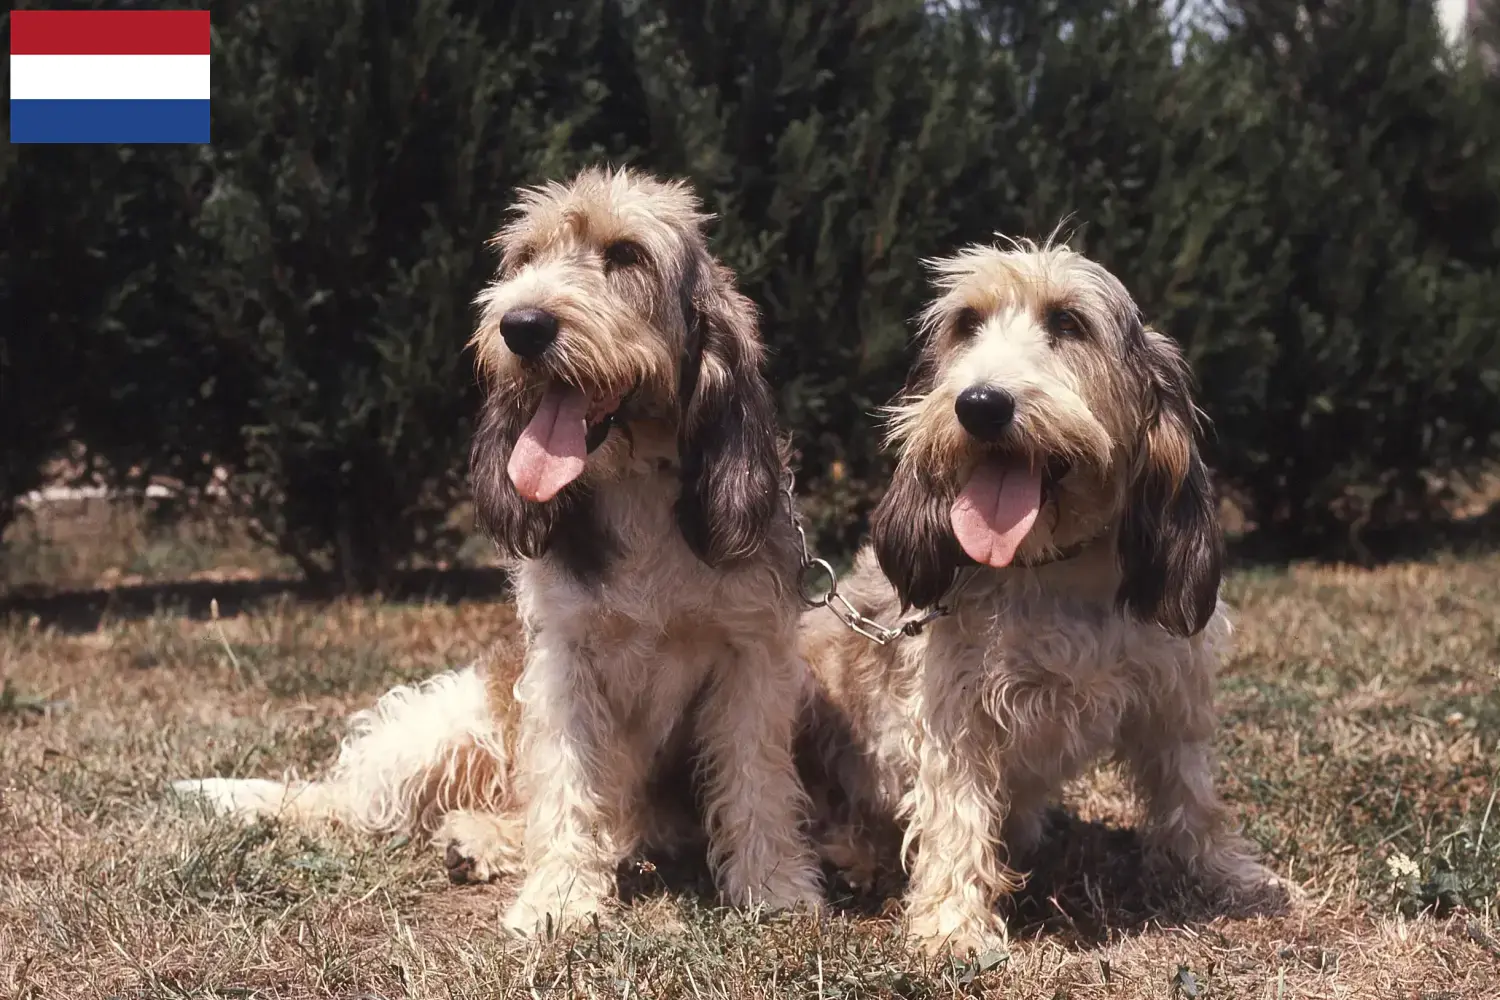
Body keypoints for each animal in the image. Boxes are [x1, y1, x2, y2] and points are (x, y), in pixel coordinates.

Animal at [184, 166, 834, 941]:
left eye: (626, 255)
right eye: (524, 259)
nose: (520, 327)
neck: (638, 489)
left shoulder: (751, 658)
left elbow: (755, 777)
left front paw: (773, 885)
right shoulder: (563, 662)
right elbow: (567, 781)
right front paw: (561, 897)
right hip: (442, 726)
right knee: (363, 800)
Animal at [798, 239, 1278, 953]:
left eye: (1069, 323)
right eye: (966, 323)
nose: (979, 405)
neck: (1053, 569)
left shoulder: (1173, 694)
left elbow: (1192, 794)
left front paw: (1228, 875)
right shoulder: (953, 708)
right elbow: (956, 809)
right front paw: (954, 926)